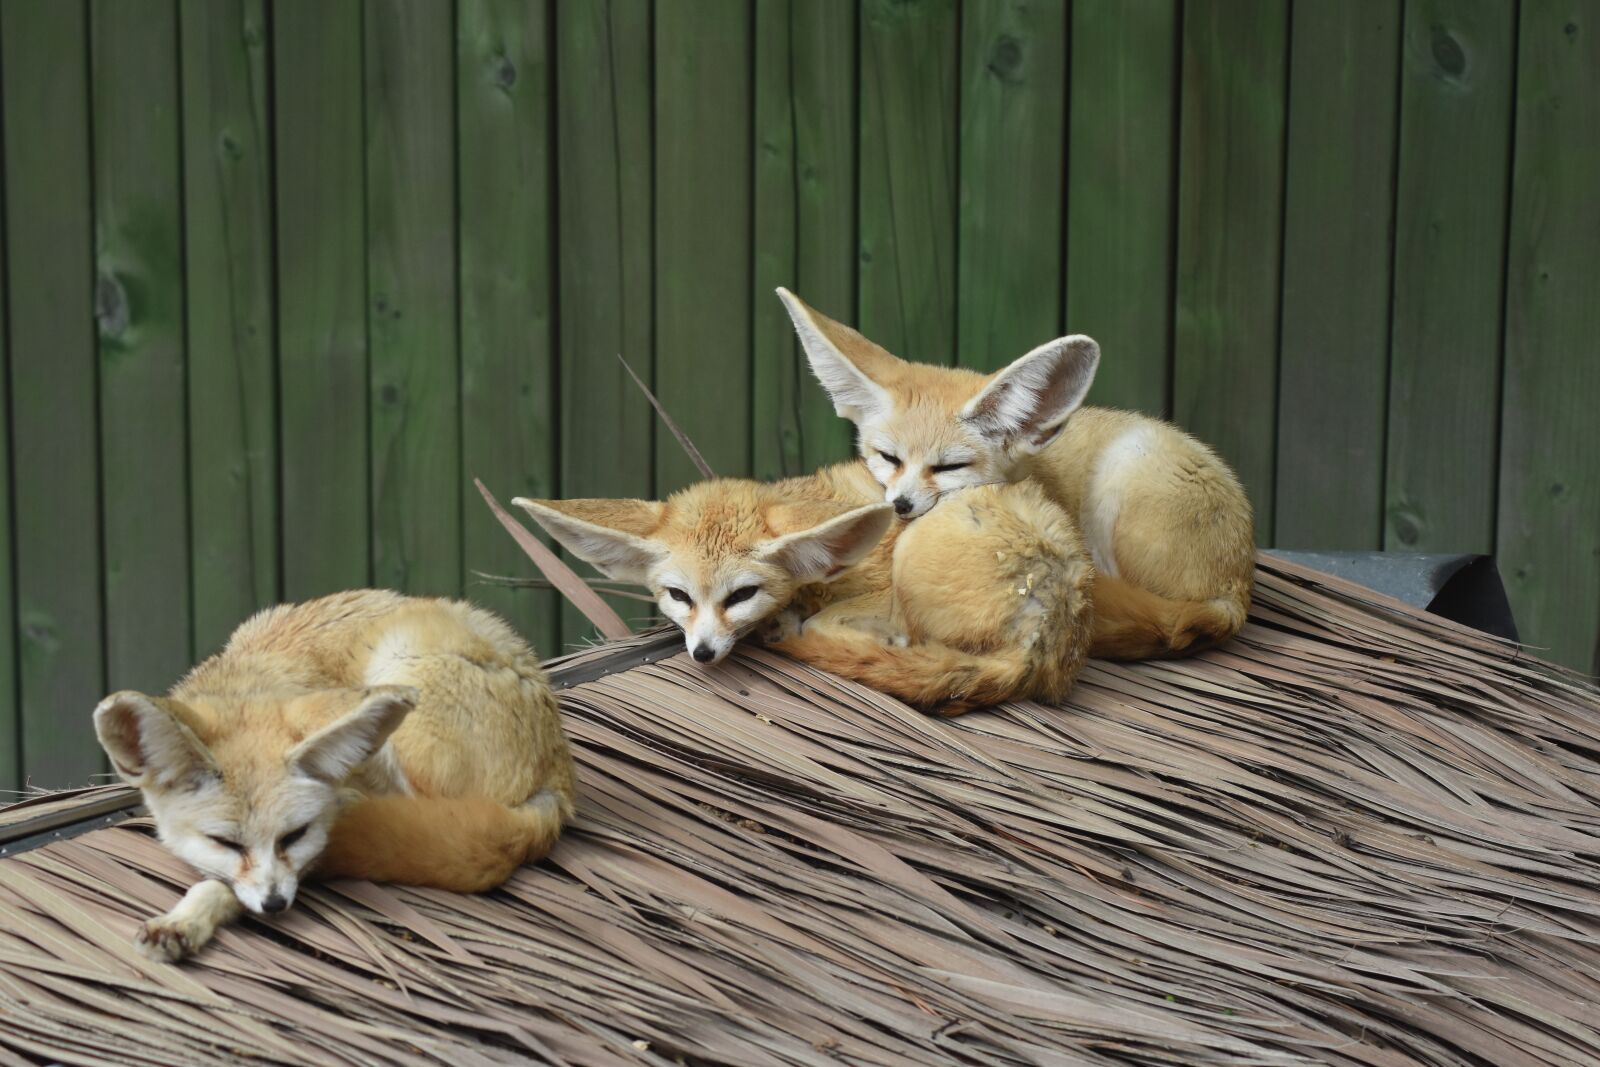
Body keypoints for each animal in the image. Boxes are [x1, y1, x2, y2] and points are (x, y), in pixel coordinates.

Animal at [92, 589, 575, 963]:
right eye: (226, 843)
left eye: (293, 835)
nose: (275, 905)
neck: (254, 674)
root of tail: (560, 782)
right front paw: (185, 920)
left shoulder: (315, 840)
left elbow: (229, 885)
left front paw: (188, 917)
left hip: (399, 665)